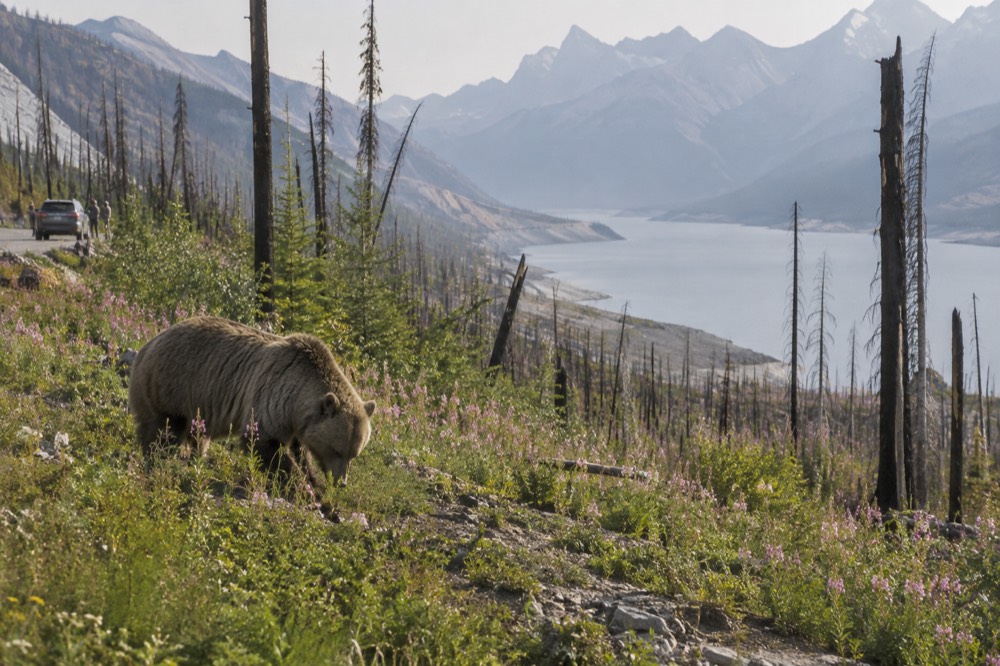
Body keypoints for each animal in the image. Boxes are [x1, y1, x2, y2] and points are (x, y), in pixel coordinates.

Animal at [128, 315, 376, 486]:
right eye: (337, 450)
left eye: (354, 453)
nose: (341, 482)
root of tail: (147, 344)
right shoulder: (271, 396)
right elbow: (262, 441)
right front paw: (295, 482)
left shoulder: (298, 421)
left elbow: (299, 451)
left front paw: (312, 480)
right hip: (170, 387)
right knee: (163, 430)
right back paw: (157, 459)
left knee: (197, 436)